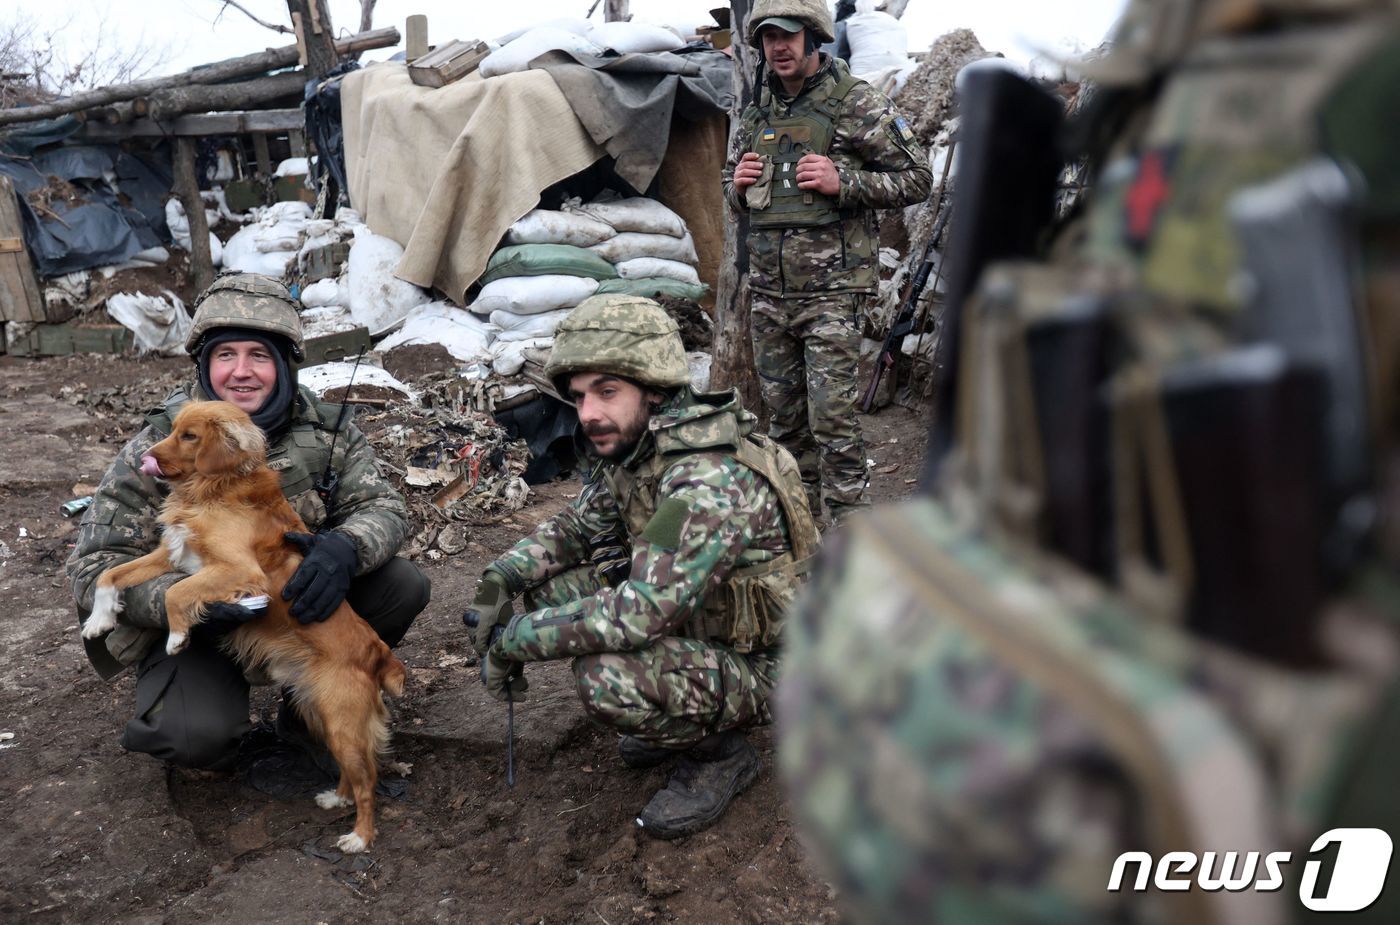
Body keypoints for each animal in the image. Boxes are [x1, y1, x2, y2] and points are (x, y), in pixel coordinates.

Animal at [81, 397, 403, 850]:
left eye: (189, 436)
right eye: (172, 429)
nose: (145, 458)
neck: (214, 487)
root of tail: (378, 654)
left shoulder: (238, 570)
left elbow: (177, 593)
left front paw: (178, 636)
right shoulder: (173, 553)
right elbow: (110, 574)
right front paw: (99, 619)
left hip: (342, 722)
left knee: (368, 779)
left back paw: (359, 836)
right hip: (322, 715)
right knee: (351, 770)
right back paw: (335, 798)